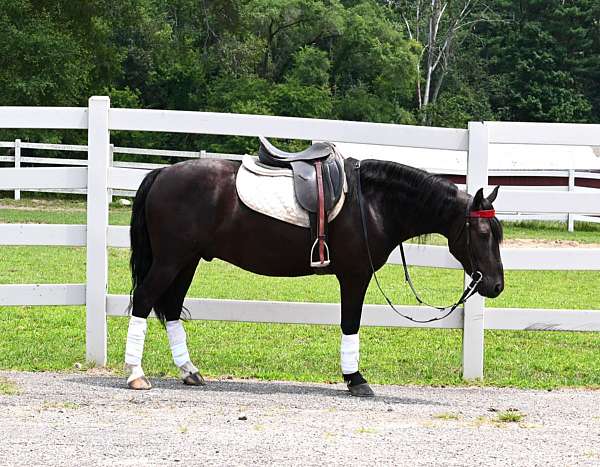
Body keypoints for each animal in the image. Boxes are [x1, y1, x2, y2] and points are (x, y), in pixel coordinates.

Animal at [124, 149, 504, 394]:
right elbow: (350, 323)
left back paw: (190, 371)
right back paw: (135, 375)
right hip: (170, 260)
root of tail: (162, 173)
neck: (372, 203)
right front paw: (356, 379)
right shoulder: (355, 276)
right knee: (143, 300)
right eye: (484, 233)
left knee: (171, 308)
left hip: (187, 261)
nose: (496, 285)